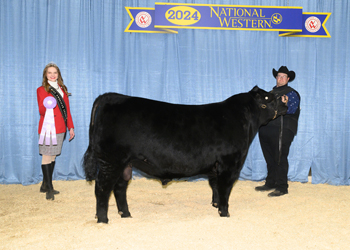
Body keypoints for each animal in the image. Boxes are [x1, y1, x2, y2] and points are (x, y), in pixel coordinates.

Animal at [82, 86, 288, 223]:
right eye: (269, 98)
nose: (285, 102)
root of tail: (113, 96)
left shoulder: (215, 166)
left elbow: (215, 186)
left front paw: (215, 205)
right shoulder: (230, 164)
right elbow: (225, 189)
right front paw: (224, 212)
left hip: (125, 162)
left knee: (119, 187)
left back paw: (125, 214)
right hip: (111, 160)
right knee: (102, 188)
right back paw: (103, 220)